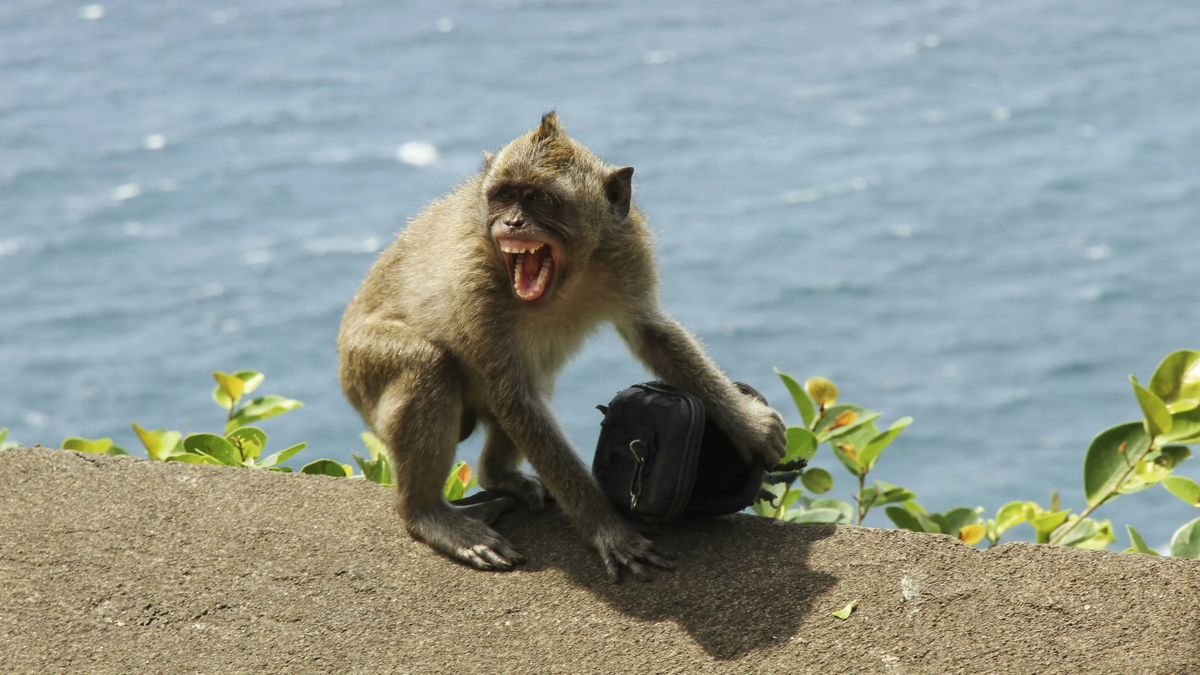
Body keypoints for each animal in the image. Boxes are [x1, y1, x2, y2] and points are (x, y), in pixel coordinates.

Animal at [338, 112, 787, 581]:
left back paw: (499, 476)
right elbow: (514, 398)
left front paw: (749, 427)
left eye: (540, 199)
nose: (513, 223)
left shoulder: (627, 248)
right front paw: (609, 530)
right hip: (362, 368)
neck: (568, 277)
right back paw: (428, 515)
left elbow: (652, 333)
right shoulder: (473, 282)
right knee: (426, 363)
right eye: (503, 196)